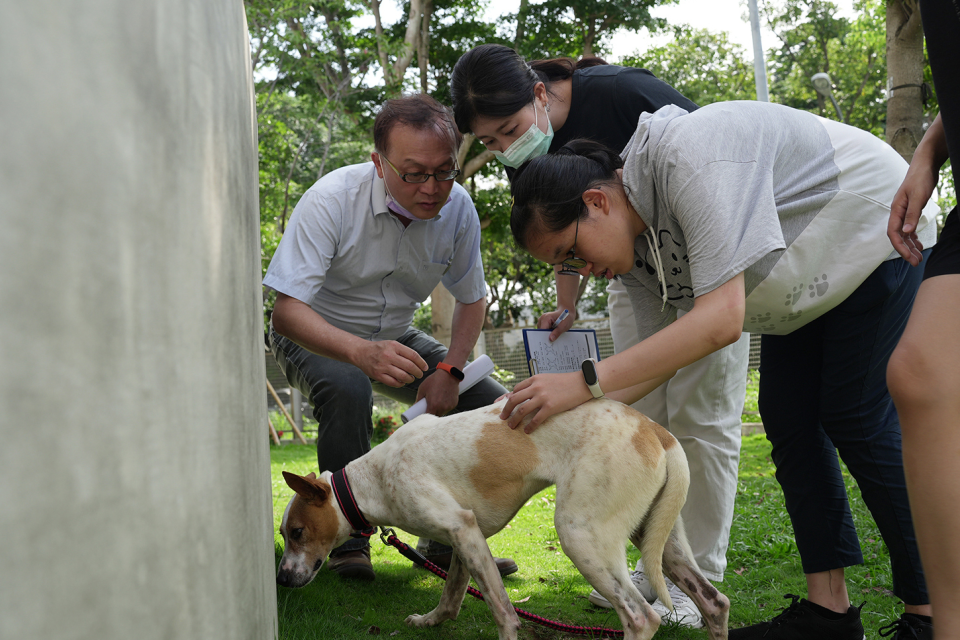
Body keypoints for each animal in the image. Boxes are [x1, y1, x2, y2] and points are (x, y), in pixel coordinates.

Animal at [276, 398, 728, 636]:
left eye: (297, 532)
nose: (280, 579)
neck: (371, 479)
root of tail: (656, 430)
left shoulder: (462, 528)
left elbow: (502, 610)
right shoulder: (463, 536)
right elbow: (451, 597)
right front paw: (430, 620)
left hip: (581, 536)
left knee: (640, 617)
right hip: (657, 540)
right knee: (715, 601)